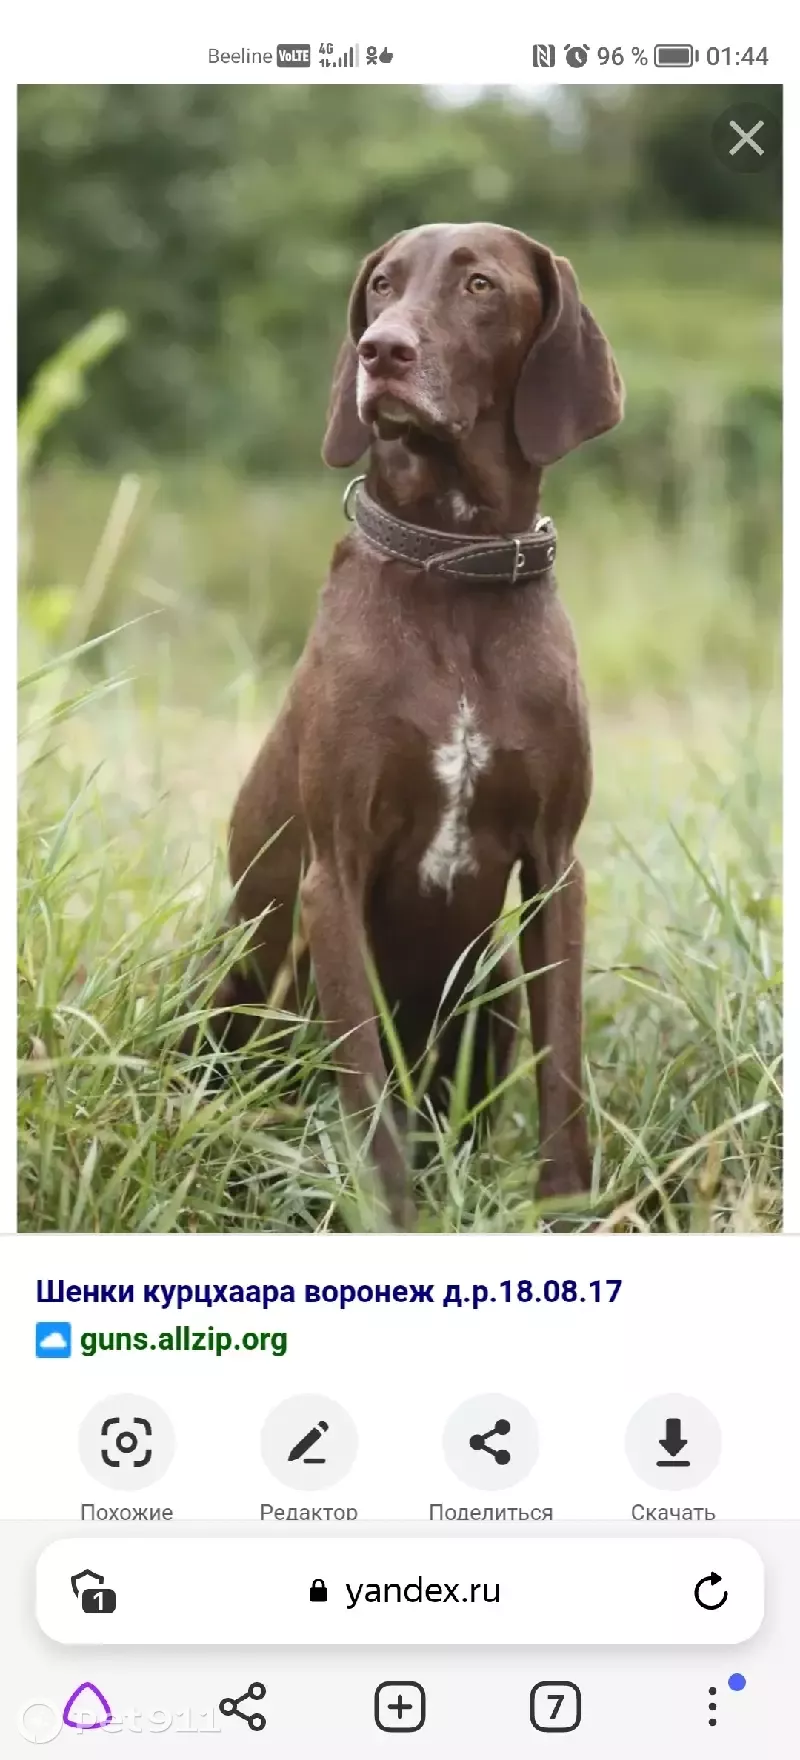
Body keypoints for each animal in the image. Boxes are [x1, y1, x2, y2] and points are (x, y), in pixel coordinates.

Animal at [200, 227, 625, 1232]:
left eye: (480, 285)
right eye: (383, 286)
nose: (381, 351)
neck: (455, 570)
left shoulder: (556, 868)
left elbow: (563, 1065)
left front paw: (566, 1208)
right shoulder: (335, 873)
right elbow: (365, 1089)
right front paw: (388, 1219)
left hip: (492, 980)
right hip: (238, 982)